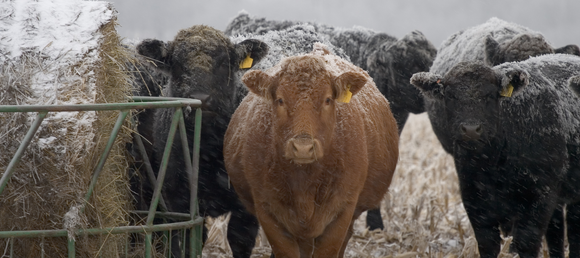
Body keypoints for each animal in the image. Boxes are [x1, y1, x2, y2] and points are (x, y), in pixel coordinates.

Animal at [133, 25, 268, 258]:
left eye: (224, 63)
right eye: (176, 64)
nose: (201, 98)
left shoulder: (246, 209)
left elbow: (240, 243)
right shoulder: (180, 202)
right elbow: (187, 243)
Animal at [222, 43, 398, 256]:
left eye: (328, 99)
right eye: (280, 99)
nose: (303, 147)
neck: (305, 183)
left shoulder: (342, 212)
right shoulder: (267, 211)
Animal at [410, 53, 580, 256]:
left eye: (490, 95)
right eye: (450, 95)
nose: (471, 129)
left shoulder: (540, 197)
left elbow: (527, 243)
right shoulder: (473, 198)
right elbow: (487, 243)